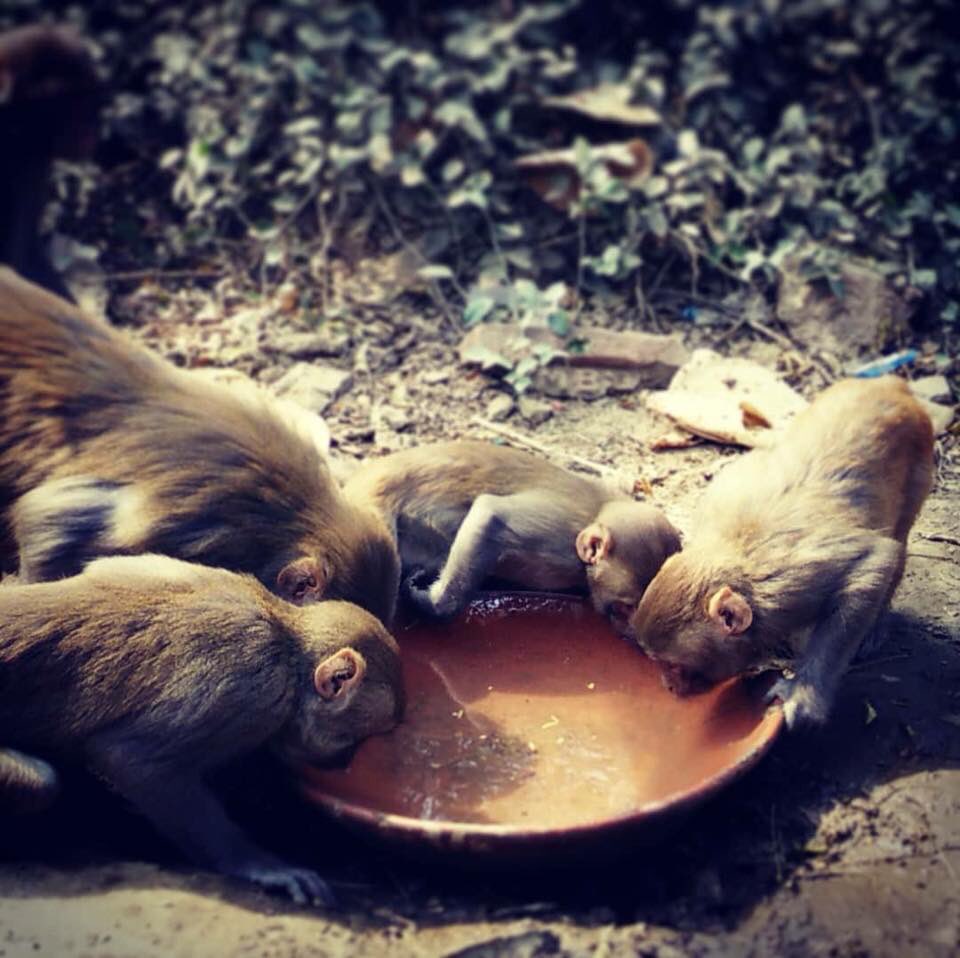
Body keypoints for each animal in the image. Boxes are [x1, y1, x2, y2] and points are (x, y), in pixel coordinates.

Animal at [0, 553, 403, 904]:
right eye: (354, 739)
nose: (344, 763)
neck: (286, 637)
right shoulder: (248, 688)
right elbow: (133, 760)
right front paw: (258, 865)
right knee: (42, 783)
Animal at [629, 376, 934, 729]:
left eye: (673, 665)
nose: (668, 686)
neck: (738, 553)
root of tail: (889, 384)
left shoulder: (798, 577)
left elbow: (874, 560)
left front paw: (804, 691)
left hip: (919, 461)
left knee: (898, 537)